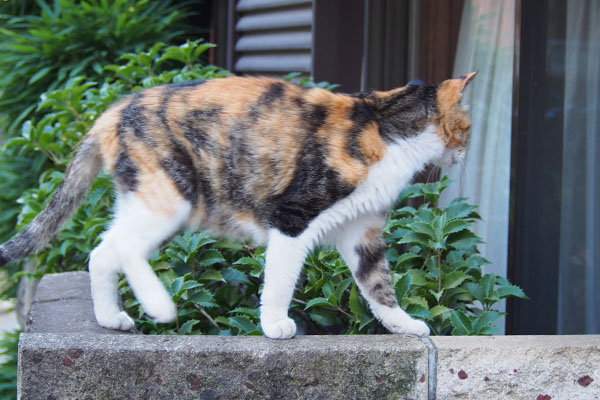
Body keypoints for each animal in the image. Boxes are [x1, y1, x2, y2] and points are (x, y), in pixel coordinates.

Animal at [0, 71, 476, 338]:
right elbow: (280, 280)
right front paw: (274, 325)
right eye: (469, 126)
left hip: (143, 202)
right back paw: (160, 306)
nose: (467, 152)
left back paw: (110, 318)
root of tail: (112, 110)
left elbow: (379, 286)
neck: (382, 124)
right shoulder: (292, 218)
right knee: (127, 251)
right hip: (171, 198)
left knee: (102, 252)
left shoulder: (362, 233)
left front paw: (404, 326)